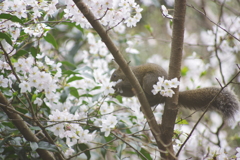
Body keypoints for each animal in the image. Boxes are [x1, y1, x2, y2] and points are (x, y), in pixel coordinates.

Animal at [109, 62, 239, 119]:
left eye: (114, 75)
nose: (111, 83)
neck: (127, 72)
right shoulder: (129, 89)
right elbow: (128, 93)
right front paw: (115, 90)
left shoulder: (134, 77)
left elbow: (127, 84)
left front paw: (117, 85)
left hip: (149, 80)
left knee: (152, 94)